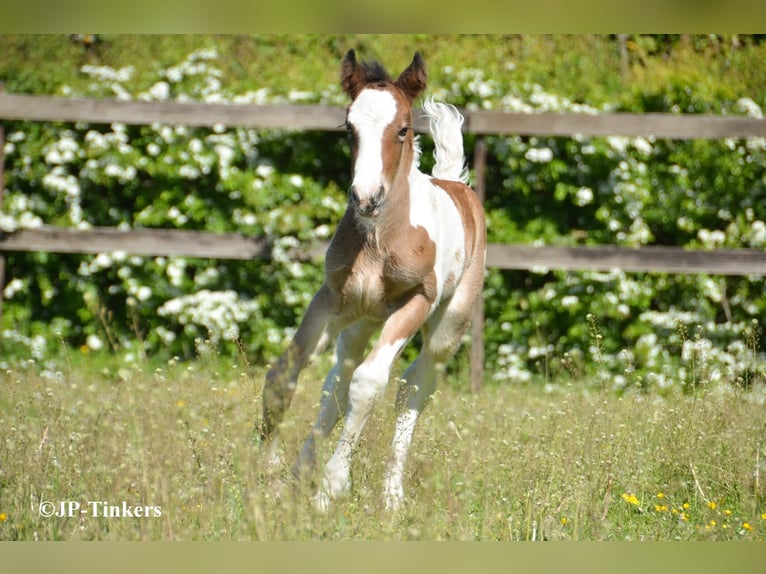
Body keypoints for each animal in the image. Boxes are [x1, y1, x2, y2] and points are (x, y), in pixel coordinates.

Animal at [260, 49, 486, 511]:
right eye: (348, 127)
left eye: (402, 129)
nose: (366, 198)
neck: (379, 238)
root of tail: (457, 184)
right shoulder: (329, 298)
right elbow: (284, 375)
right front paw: (269, 478)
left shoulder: (417, 300)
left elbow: (369, 385)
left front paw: (331, 488)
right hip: (360, 321)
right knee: (336, 383)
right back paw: (299, 472)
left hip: (448, 325)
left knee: (413, 386)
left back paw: (392, 496)